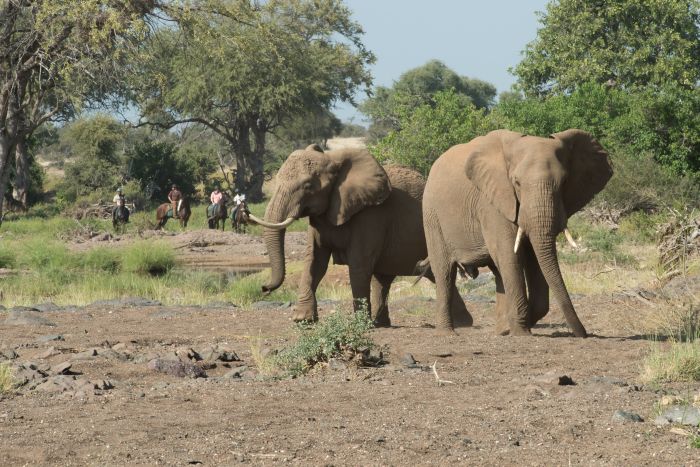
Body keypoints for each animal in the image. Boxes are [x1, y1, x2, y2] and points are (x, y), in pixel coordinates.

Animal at [249, 144, 474, 328]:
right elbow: (314, 262)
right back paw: (382, 323)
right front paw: (302, 320)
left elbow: (359, 264)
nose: (264, 288)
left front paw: (359, 324)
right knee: (387, 279)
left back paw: (463, 323)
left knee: (438, 272)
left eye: (307, 186)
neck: (333, 160)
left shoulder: (372, 215)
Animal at [422, 130, 612, 338]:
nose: (584, 334)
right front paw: (521, 333)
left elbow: (534, 258)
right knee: (444, 272)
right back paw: (447, 333)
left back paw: (501, 330)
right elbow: (510, 255)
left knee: (498, 272)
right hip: (432, 216)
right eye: (517, 183)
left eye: (563, 182)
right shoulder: (493, 202)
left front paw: (511, 329)